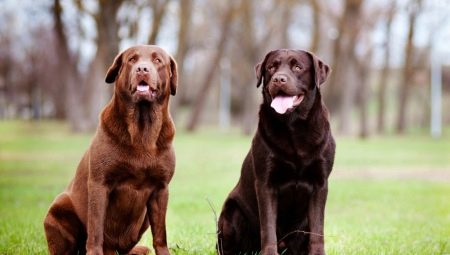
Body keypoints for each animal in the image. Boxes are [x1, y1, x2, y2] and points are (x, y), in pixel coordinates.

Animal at [44, 45, 178, 255]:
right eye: (132, 59)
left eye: (157, 61)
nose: (142, 69)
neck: (142, 132)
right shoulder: (100, 184)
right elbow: (96, 228)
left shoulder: (160, 188)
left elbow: (160, 233)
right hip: (59, 208)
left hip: (144, 219)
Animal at [216, 49, 336, 255]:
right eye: (271, 67)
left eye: (298, 67)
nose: (279, 79)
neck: (293, 127)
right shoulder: (266, 183)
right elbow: (268, 227)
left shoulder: (320, 183)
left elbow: (317, 230)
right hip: (233, 211)